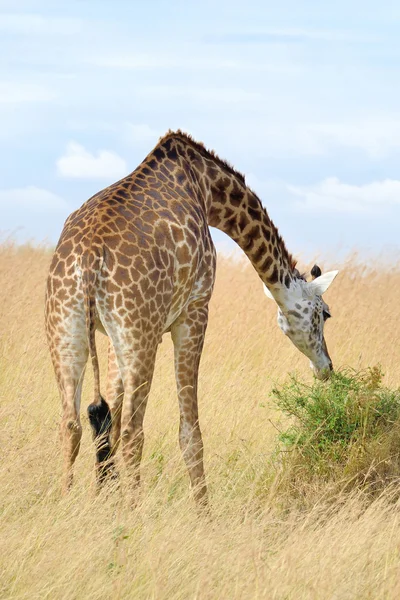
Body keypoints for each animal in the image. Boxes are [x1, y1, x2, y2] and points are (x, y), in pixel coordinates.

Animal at [44, 130, 338, 502]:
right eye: (326, 314)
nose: (327, 367)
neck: (207, 187)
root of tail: (88, 257)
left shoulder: (112, 336)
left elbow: (110, 416)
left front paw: (104, 497)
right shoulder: (195, 310)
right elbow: (190, 433)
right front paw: (204, 510)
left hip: (66, 329)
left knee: (72, 424)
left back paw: (65, 503)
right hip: (139, 333)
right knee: (133, 432)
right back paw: (133, 510)